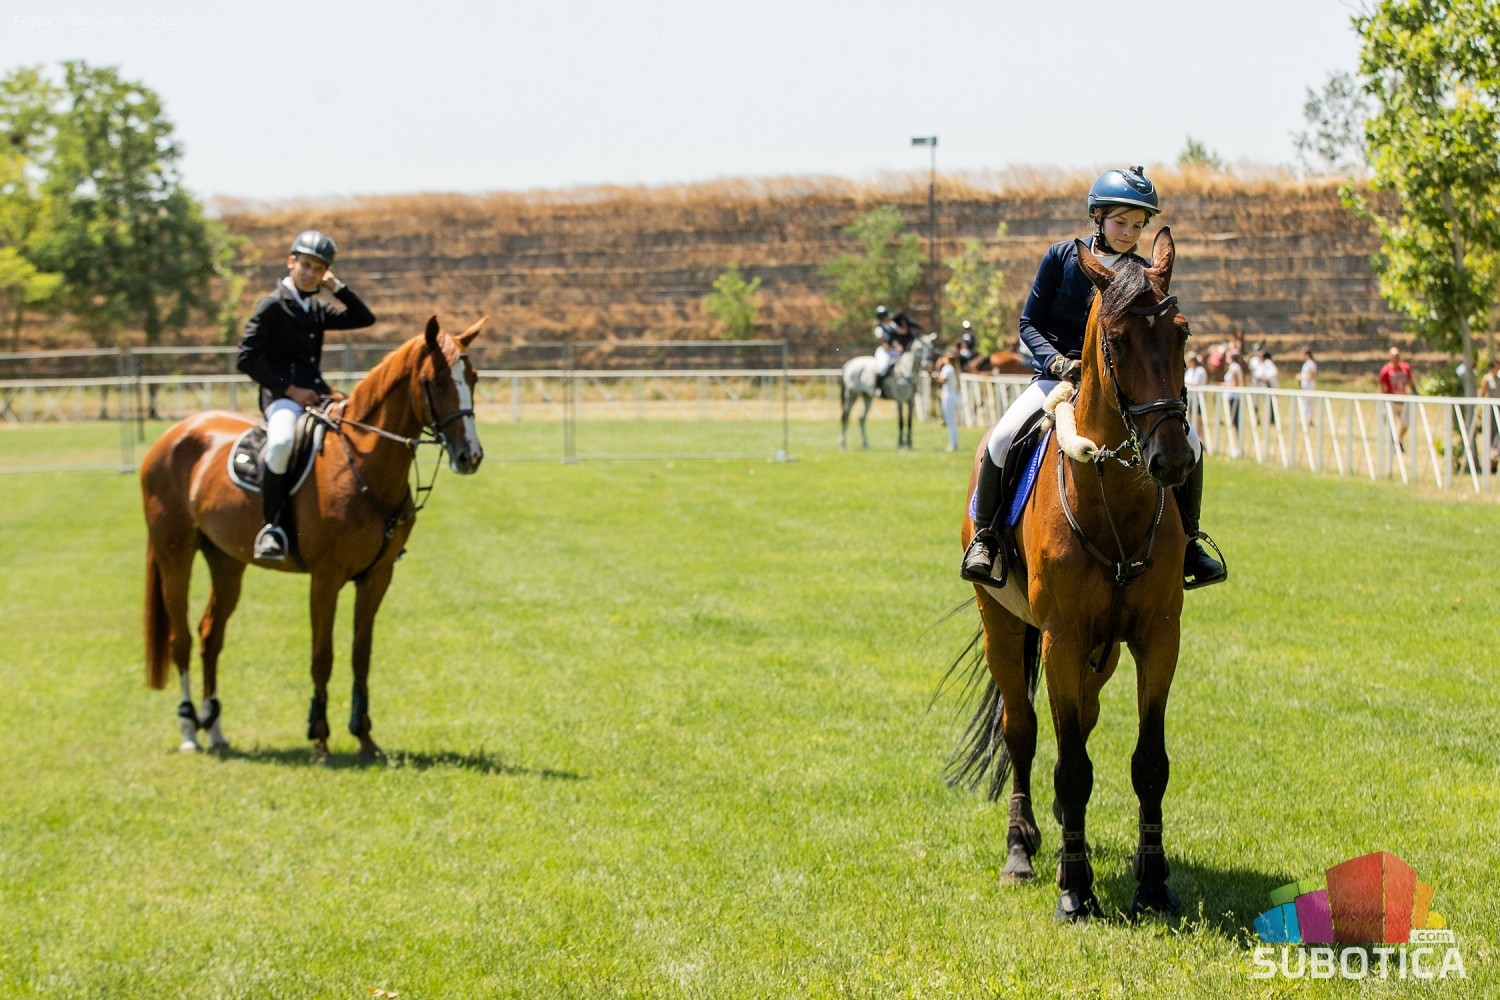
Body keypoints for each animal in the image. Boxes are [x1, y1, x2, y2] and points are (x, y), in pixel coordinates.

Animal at [140, 316, 488, 762]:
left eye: (473, 378)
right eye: (437, 380)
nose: (470, 456)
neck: (362, 464)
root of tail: (174, 434)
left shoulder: (376, 578)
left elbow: (361, 655)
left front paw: (365, 738)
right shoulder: (325, 578)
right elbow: (322, 656)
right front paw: (320, 738)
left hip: (226, 562)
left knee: (210, 636)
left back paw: (215, 728)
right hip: (175, 554)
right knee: (180, 639)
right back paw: (189, 730)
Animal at [948, 228, 1195, 922]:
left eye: (1182, 334)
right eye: (1115, 339)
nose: (1172, 459)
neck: (1112, 501)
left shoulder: (1156, 637)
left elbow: (1148, 762)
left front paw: (1153, 883)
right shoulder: (1057, 638)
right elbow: (1068, 764)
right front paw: (1075, 890)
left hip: (1099, 651)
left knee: (1079, 723)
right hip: (1004, 626)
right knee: (1024, 733)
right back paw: (1023, 850)